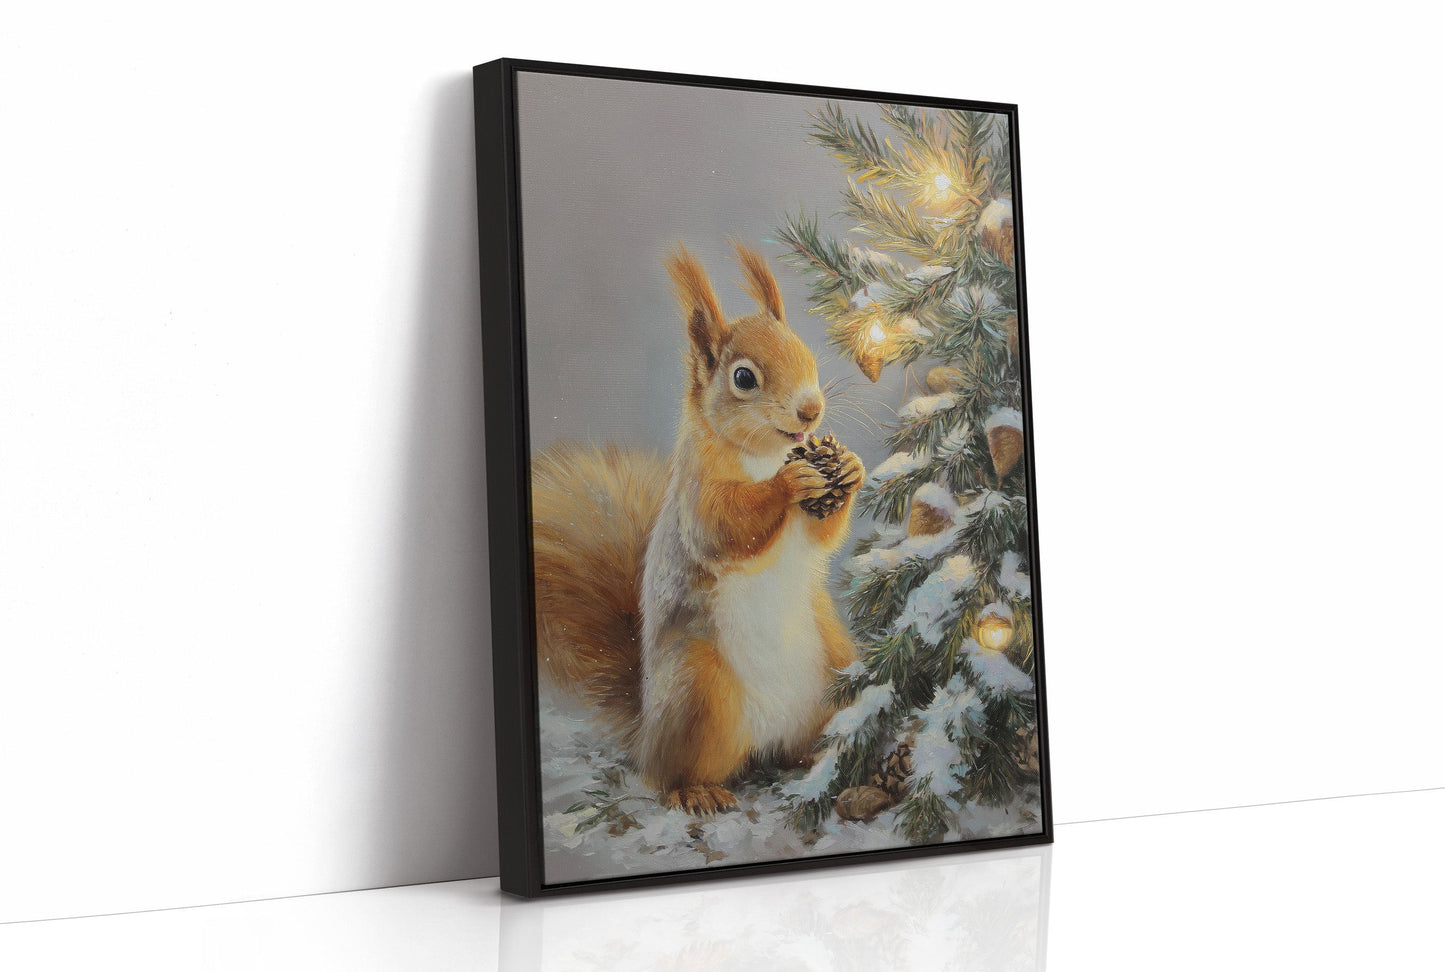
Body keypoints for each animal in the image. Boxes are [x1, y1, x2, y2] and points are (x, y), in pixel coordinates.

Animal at [529, 242, 865, 815]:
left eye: (808, 354)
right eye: (744, 378)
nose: (811, 409)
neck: (764, 454)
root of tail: (645, 733)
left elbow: (820, 535)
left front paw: (850, 468)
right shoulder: (695, 493)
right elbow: (725, 526)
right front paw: (789, 482)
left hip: (838, 665)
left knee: (805, 743)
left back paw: (829, 760)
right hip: (700, 688)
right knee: (670, 775)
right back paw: (698, 791)